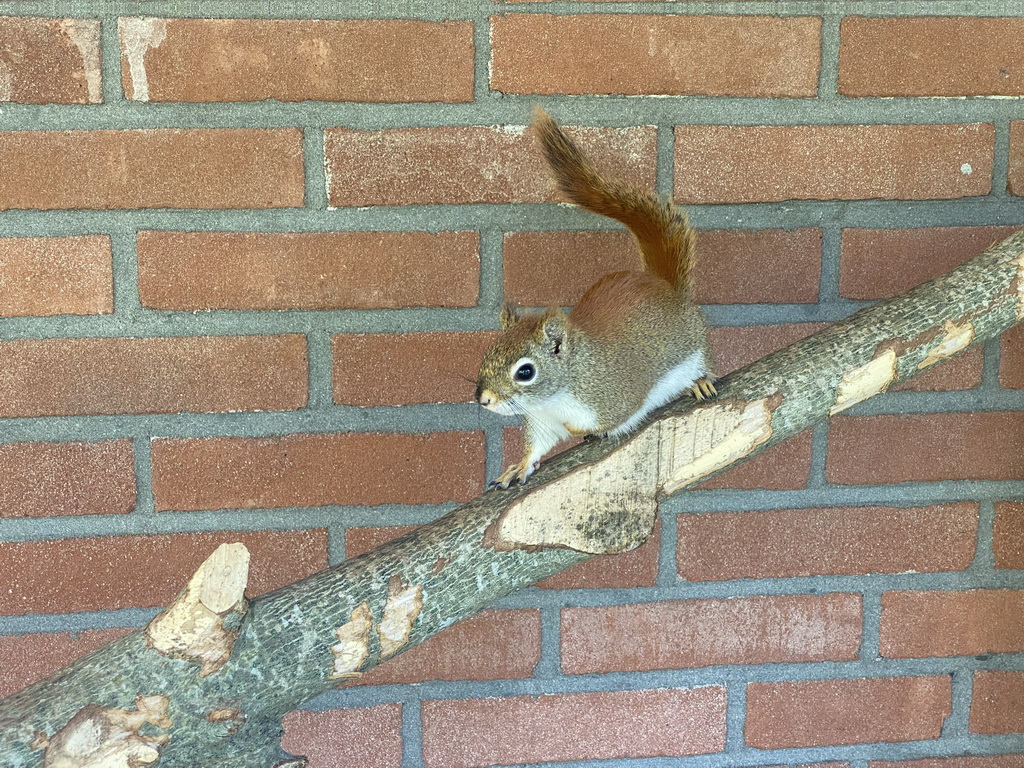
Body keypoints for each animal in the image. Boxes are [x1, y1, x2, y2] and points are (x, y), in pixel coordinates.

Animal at [475, 108, 716, 489]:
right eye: (487, 353)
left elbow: (612, 417)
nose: (484, 399)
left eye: (525, 372)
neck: (554, 398)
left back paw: (701, 381)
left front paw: (581, 430)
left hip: (694, 347)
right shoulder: (541, 423)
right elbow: (537, 445)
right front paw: (519, 466)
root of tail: (663, 285)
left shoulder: (614, 396)